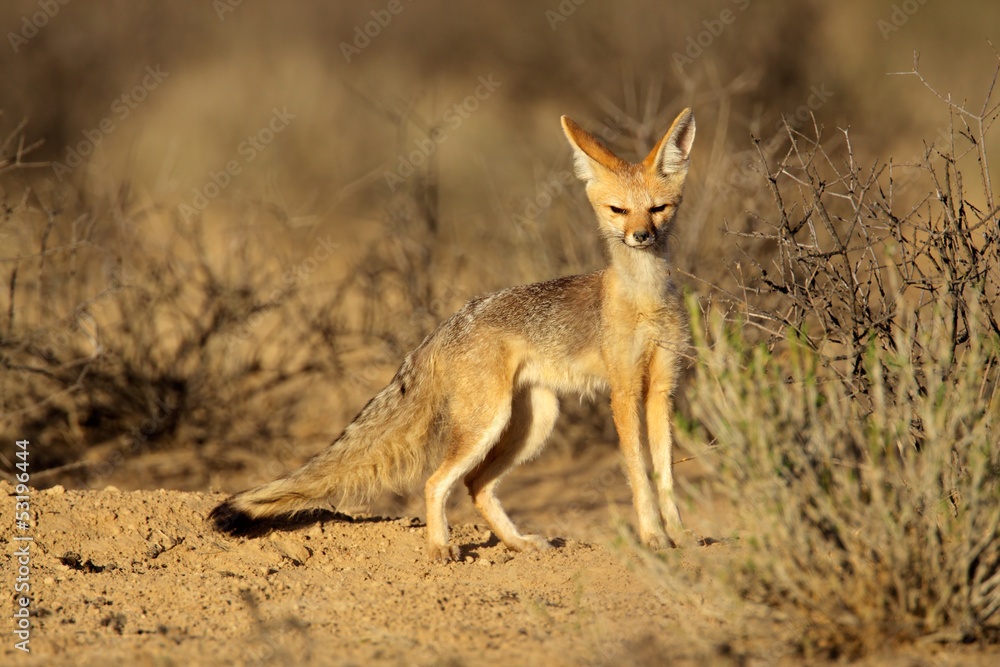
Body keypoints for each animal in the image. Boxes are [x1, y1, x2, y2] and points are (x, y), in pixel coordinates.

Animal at [211, 109, 696, 564]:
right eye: (618, 210)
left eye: (658, 208)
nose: (641, 235)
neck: (645, 299)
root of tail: (446, 324)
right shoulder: (624, 391)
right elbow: (639, 471)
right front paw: (653, 537)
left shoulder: (660, 389)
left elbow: (666, 472)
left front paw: (680, 536)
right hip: (489, 423)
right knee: (437, 480)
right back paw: (440, 546)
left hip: (535, 422)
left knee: (476, 485)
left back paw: (516, 543)